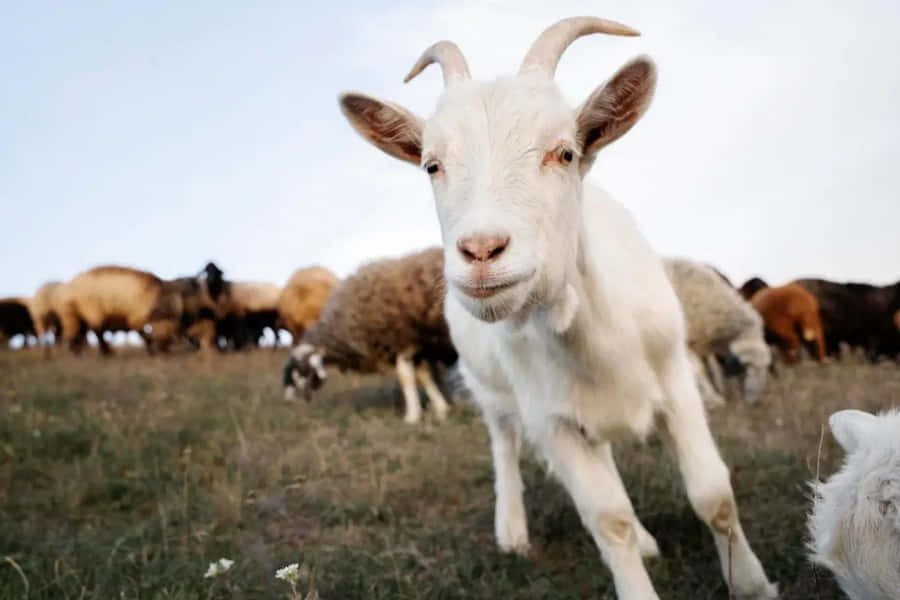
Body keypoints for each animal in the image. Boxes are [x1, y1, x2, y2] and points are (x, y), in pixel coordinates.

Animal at [337, 16, 776, 599]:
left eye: (564, 152)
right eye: (432, 165)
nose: (482, 251)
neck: (594, 330)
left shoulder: (677, 383)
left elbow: (713, 494)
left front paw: (751, 583)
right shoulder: (550, 419)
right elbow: (607, 518)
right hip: (492, 390)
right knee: (504, 444)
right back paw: (512, 529)